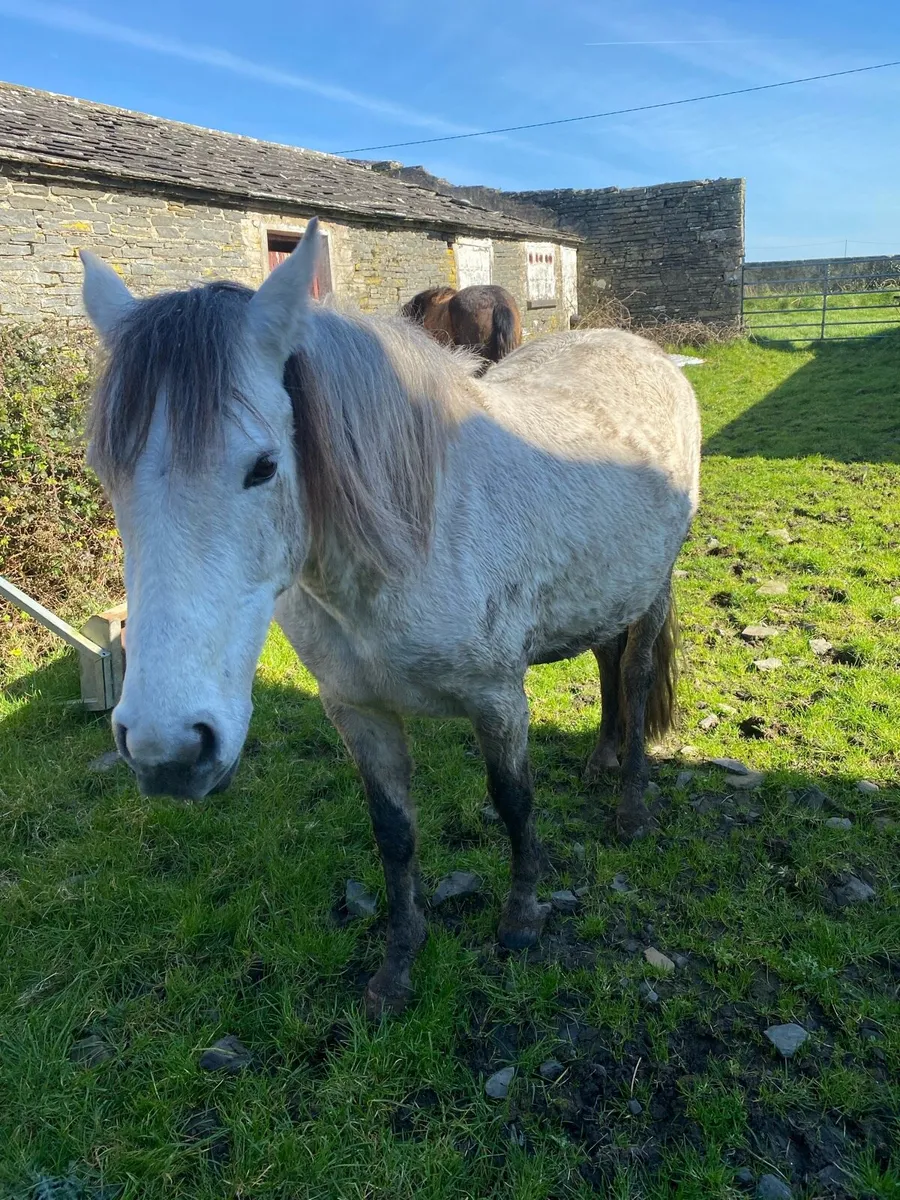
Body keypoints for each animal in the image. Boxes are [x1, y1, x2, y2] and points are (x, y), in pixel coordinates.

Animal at [80, 220, 700, 1018]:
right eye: (106, 471)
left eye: (263, 466)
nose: (168, 751)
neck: (409, 539)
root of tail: (645, 351)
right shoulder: (358, 711)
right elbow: (394, 832)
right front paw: (399, 964)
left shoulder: (499, 700)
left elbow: (514, 802)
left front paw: (522, 918)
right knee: (604, 661)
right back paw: (600, 760)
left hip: (654, 587)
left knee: (635, 670)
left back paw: (629, 808)